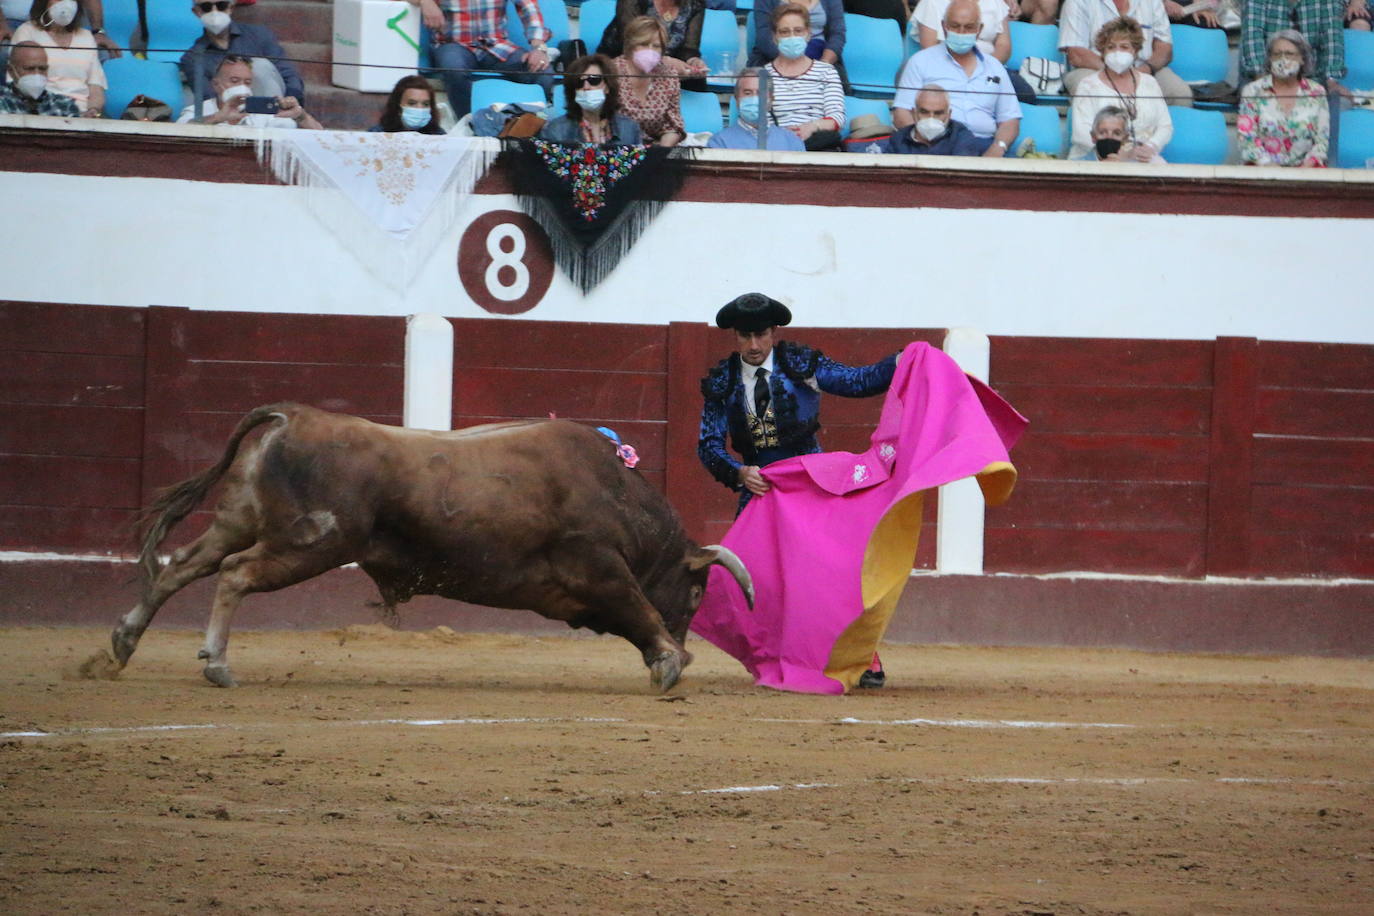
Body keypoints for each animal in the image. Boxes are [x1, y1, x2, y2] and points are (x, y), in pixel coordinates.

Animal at [112, 403, 752, 692]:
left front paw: (666, 659)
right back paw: (217, 663)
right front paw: (672, 658)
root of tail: (294, 417)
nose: (690, 634)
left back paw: (123, 642)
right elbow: (641, 610)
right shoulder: (599, 568)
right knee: (235, 574)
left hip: (240, 520)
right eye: (697, 593)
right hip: (310, 542)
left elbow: (634, 616)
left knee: (181, 567)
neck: (617, 493)